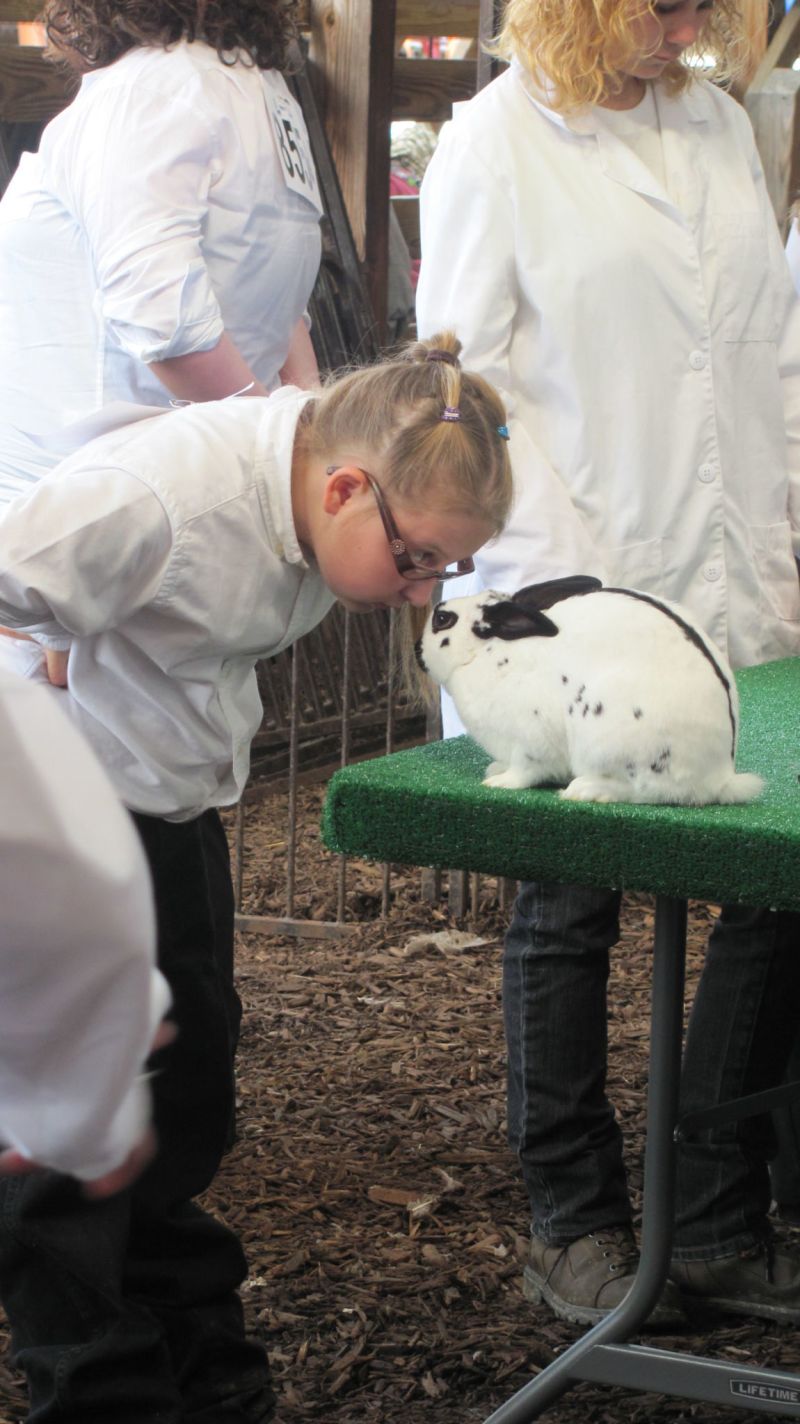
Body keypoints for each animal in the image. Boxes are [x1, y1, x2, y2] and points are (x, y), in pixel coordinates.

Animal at [412, 572, 762, 808]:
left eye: (442, 619)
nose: (416, 649)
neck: (490, 651)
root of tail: (718, 777)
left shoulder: (531, 740)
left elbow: (526, 770)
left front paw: (499, 782)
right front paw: (496, 768)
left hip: (607, 740)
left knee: (643, 790)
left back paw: (584, 790)